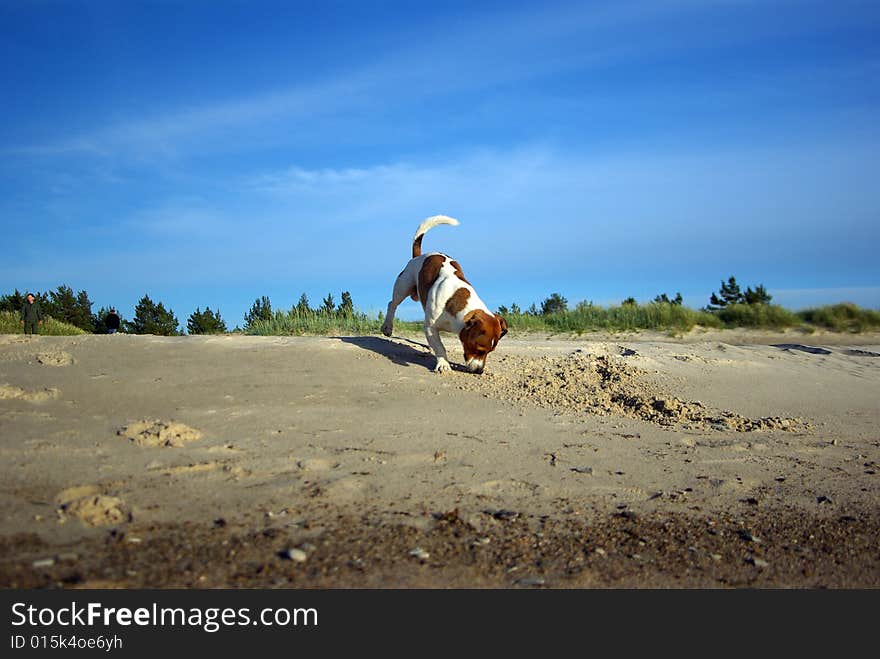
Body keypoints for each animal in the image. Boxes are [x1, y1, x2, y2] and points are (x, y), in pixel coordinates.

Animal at [380, 215, 508, 374]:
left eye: (490, 352)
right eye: (479, 350)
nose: (480, 371)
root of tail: (418, 256)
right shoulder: (430, 328)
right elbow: (440, 347)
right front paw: (443, 364)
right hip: (402, 287)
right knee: (392, 304)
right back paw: (387, 326)